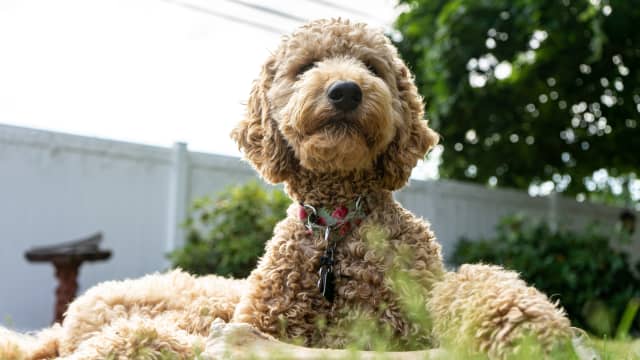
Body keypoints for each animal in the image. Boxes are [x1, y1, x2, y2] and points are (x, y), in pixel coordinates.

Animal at [0, 20, 572, 360]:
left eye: (373, 67)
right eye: (305, 68)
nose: (346, 90)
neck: (336, 227)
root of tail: (65, 321)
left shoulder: (416, 306)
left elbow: (482, 283)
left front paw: (530, 327)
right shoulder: (251, 321)